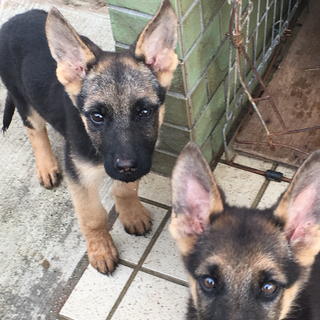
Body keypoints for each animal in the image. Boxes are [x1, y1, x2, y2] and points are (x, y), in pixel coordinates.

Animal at [0, 0, 179, 276]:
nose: (126, 166)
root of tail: (15, 18)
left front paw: (131, 214)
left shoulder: (136, 158)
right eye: (96, 116)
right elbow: (92, 218)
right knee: (35, 130)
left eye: (145, 112)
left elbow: (125, 189)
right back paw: (46, 166)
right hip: (23, 99)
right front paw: (101, 250)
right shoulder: (79, 175)